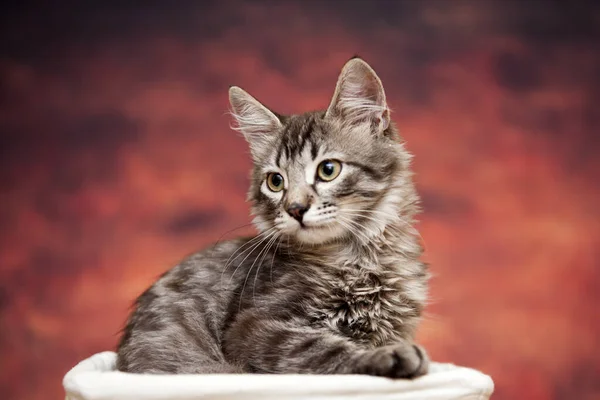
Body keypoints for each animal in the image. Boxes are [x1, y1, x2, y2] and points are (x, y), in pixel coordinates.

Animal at [115, 57, 428, 378]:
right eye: (276, 182)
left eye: (328, 169)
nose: (295, 209)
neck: (358, 259)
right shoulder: (252, 327)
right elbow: (324, 348)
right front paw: (387, 356)